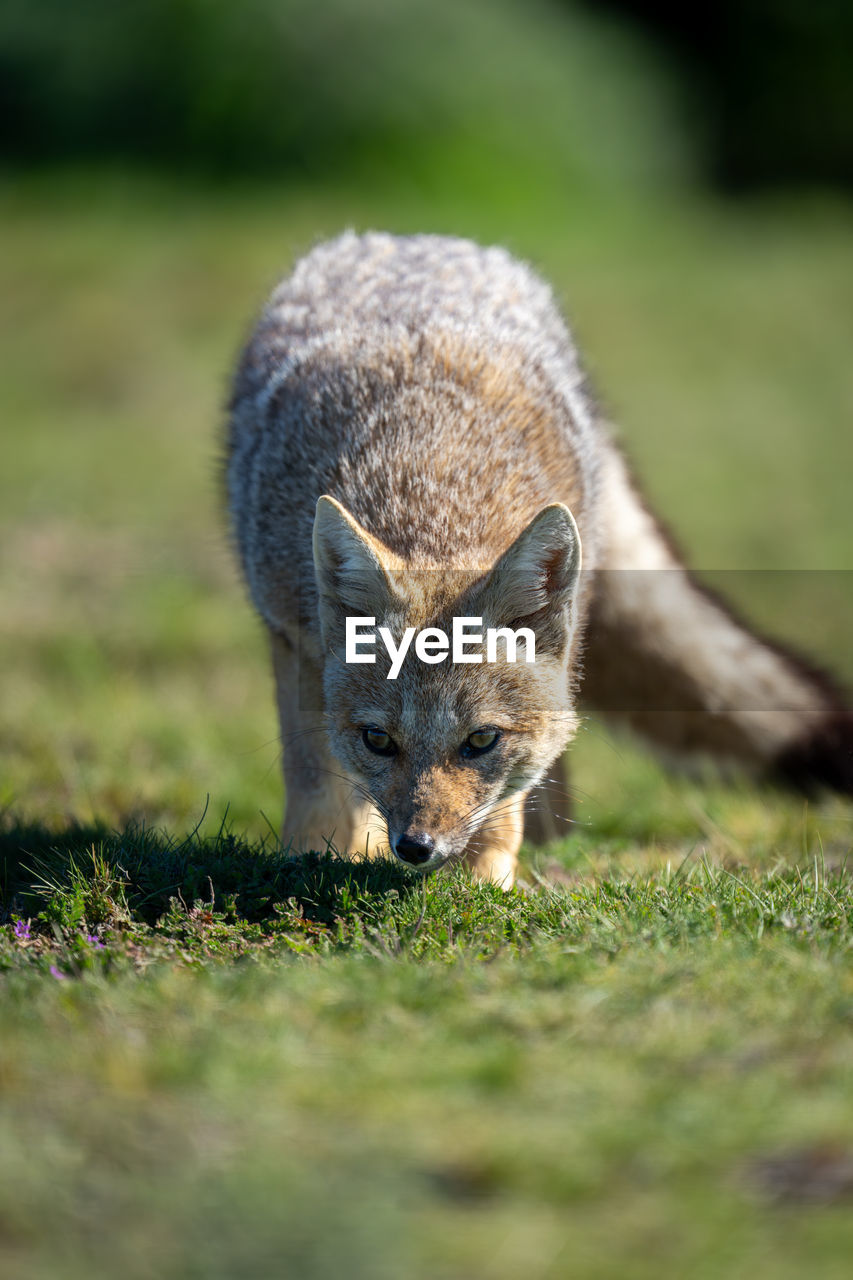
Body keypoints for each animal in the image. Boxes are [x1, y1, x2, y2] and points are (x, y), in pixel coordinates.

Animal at [225, 230, 850, 885]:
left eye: (481, 741)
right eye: (378, 740)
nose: (417, 847)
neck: (432, 476)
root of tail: (412, 237)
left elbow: (508, 797)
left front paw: (483, 875)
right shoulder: (293, 637)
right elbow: (316, 779)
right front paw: (312, 853)